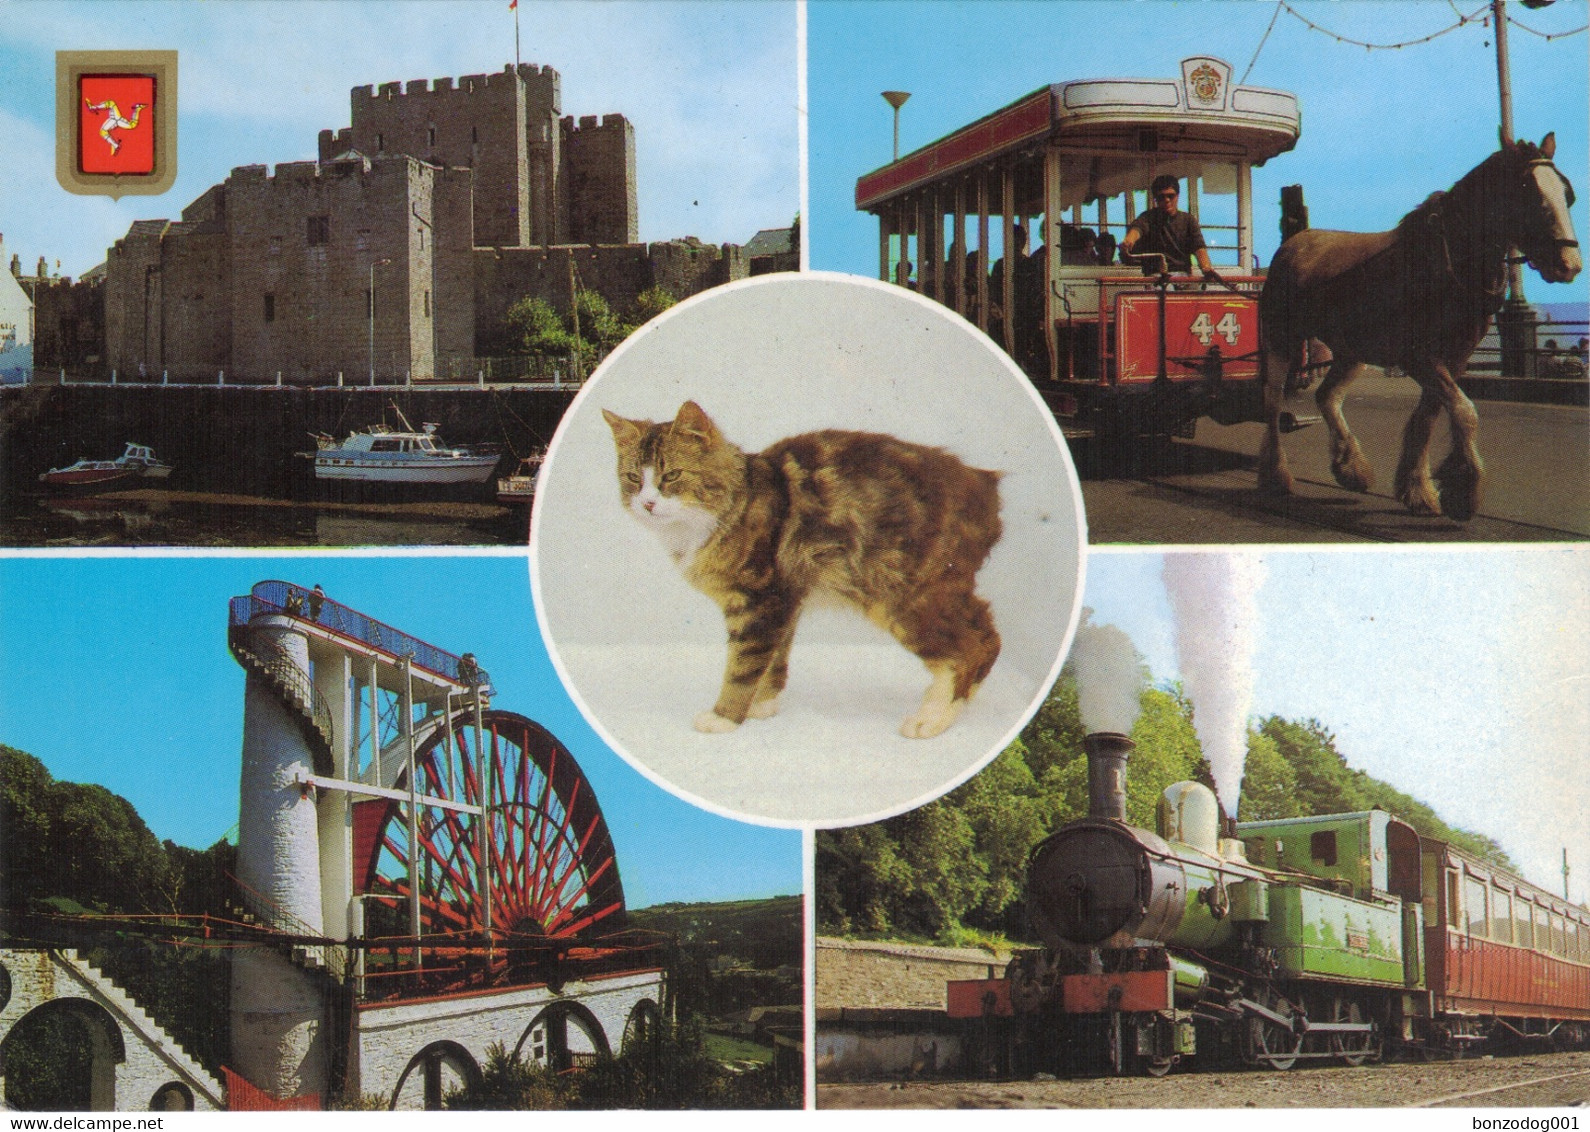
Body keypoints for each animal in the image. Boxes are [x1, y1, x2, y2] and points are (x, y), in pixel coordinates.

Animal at [601, 402, 998, 737]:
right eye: (633, 478)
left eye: (672, 476)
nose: (647, 503)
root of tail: (984, 485)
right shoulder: (785, 599)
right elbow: (773, 660)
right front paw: (762, 705)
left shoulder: (760, 600)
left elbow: (743, 666)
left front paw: (725, 716)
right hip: (943, 591)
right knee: (987, 635)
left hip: (904, 595)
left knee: (967, 651)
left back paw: (933, 718)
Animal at [1259, 135, 1583, 518]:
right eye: (1527, 191)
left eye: (1567, 194)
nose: (1570, 264)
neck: (1447, 262)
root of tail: (1293, 244)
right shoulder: (1419, 358)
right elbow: (1464, 411)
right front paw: (1463, 489)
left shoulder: (1454, 358)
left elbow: (1429, 416)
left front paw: (1418, 487)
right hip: (1282, 340)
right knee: (1272, 401)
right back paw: (1276, 475)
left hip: (1351, 351)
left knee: (1328, 396)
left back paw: (1351, 468)